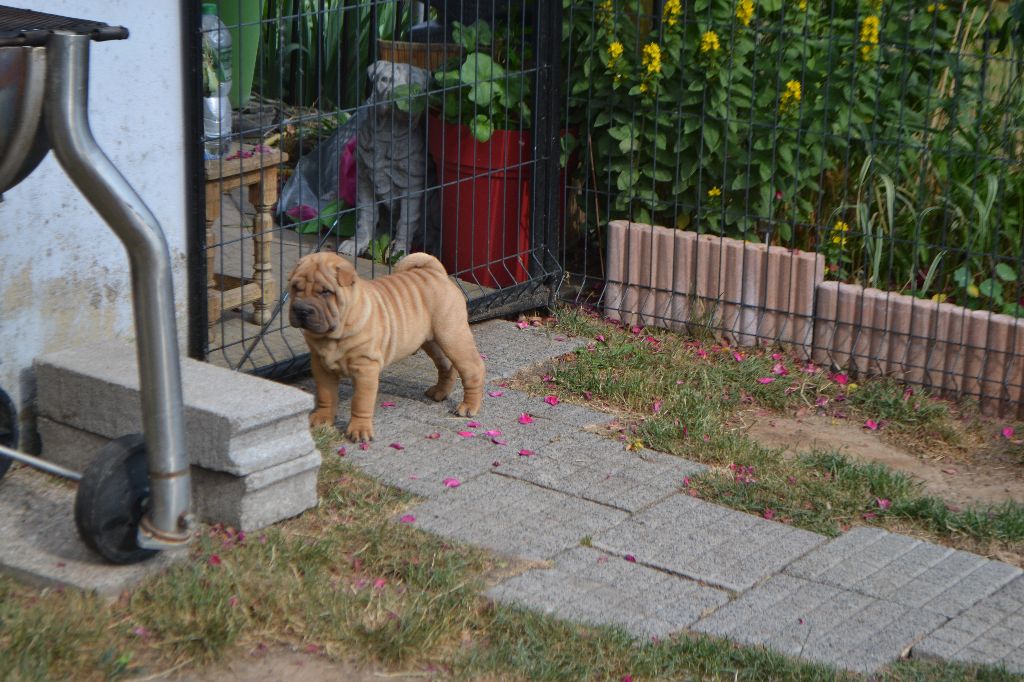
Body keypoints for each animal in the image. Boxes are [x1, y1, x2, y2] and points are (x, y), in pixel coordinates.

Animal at [284, 250, 483, 440]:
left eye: (326, 292)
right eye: (295, 287)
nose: (301, 310)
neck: (334, 334)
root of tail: (436, 272)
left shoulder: (365, 368)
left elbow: (361, 402)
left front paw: (359, 429)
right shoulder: (321, 366)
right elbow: (326, 395)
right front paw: (323, 418)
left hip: (452, 336)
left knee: (473, 369)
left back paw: (468, 406)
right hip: (431, 341)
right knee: (446, 366)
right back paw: (439, 393)